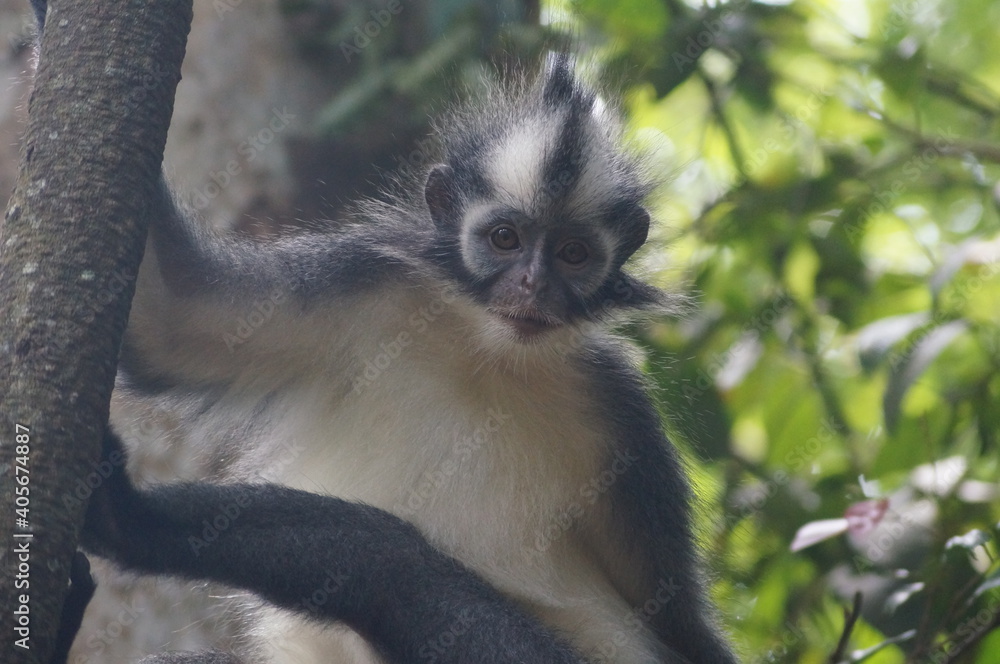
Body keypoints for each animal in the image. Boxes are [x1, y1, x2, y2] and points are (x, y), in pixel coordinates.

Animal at [29, 2, 739, 662]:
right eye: (504, 239)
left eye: (572, 255)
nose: (532, 286)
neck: (487, 352)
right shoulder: (364, 285)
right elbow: (173, 319)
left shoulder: (621, 411)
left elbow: (682, 624)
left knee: (391, 562)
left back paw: (130, 521)